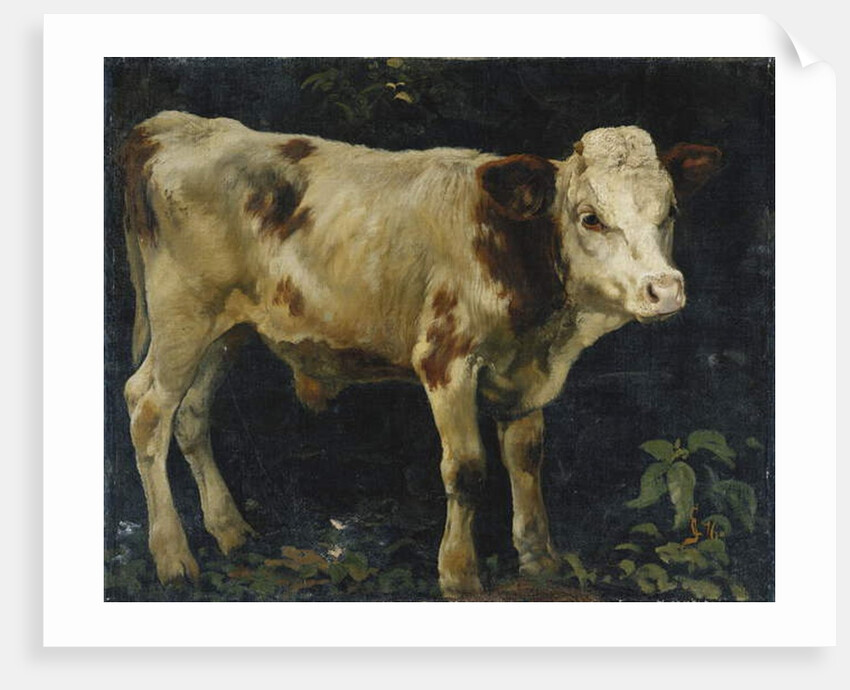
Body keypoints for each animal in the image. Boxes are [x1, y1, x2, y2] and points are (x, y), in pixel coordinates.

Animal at [119, 111, 720, 598]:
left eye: (670, 210)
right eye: (591, 216)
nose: (665, 289)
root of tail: (174, 125)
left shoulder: (524, 374)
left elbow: (526, 457)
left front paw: (538, 557)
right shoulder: (446, 359)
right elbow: (467, 469)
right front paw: (458, 574)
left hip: (225, 331)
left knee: (191, 415)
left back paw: (230, 531)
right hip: (181, 315)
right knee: (147, 407)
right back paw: (173, 557)